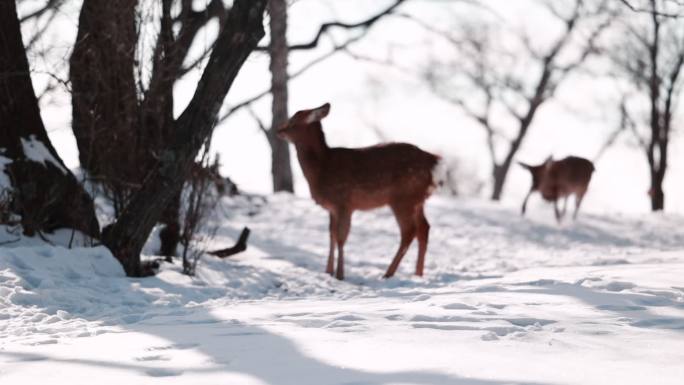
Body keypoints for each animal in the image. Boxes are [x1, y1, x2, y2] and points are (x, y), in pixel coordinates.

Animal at [276, 103, 440, 280]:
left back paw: (388, 274)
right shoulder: (332, 208)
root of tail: (433, 161)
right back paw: (418, 274)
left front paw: (340, 275)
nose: (279, 130)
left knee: (409, 231)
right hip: (417, 199)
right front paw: (328, 271)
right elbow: (331, 235)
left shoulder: (343, 202)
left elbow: (341, 238)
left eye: (294, 119)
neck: (322, 169)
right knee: (424, 228)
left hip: (403, 197)